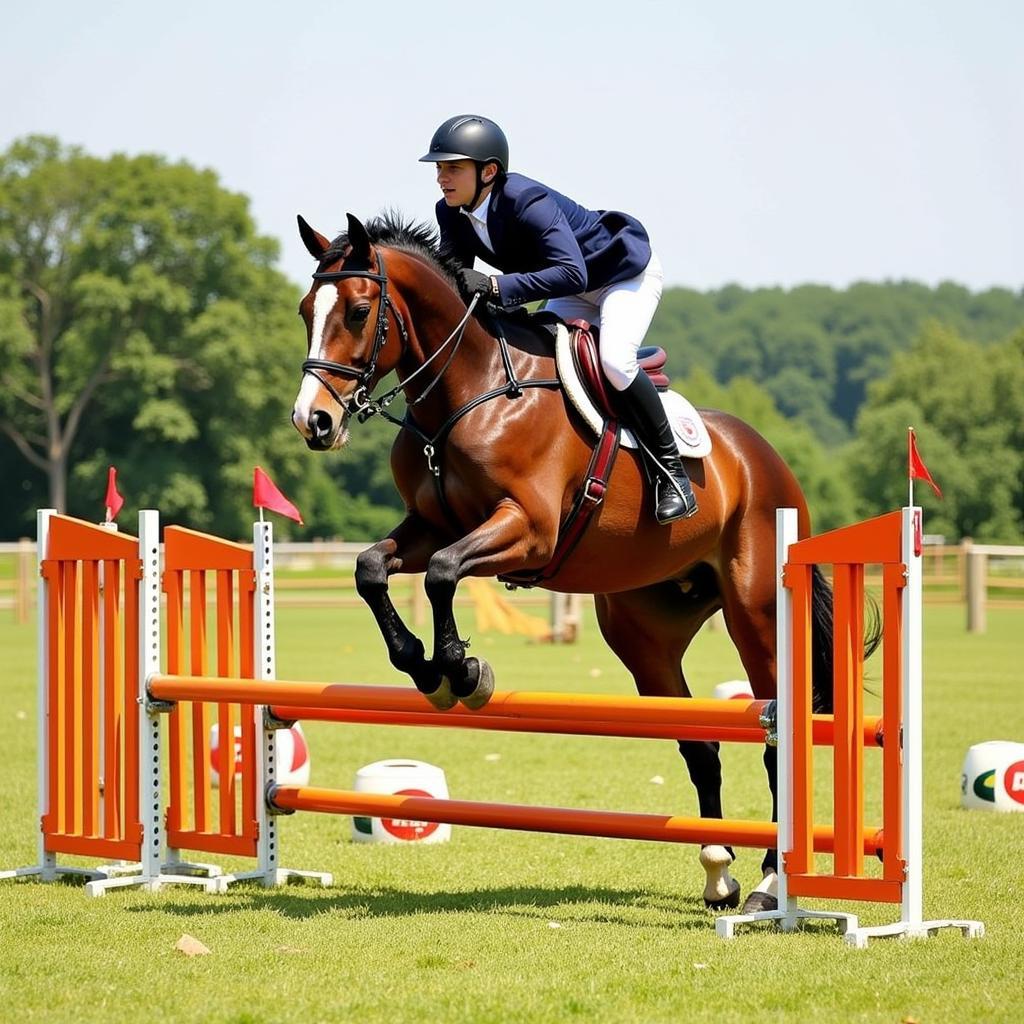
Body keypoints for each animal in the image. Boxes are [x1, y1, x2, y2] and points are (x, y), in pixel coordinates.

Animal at [292, 211, 843, 917]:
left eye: (359, 311)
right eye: (306, 310)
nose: (313, 421)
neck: (469, 388)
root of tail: (766, 458)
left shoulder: (529, 531)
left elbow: (443, 572)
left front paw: (461, 671)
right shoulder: (430, 526)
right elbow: (371, 569)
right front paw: (424, 667)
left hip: (755, 613)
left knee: (775, 737)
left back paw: (771, 885)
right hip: (644, 634)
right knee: (698, 742)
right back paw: (719, 872)